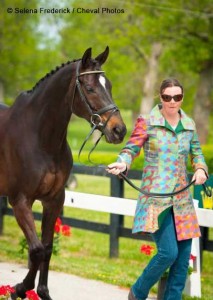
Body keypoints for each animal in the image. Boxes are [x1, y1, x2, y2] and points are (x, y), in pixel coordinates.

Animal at [0, 47, 126, 300]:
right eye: (90, 88)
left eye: (109, 85)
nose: (119, 130)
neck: (40, 139)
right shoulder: (20, 201)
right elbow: (36, 249)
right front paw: (20, 288)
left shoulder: (54, 200)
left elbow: (47, 248)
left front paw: (42, 291)